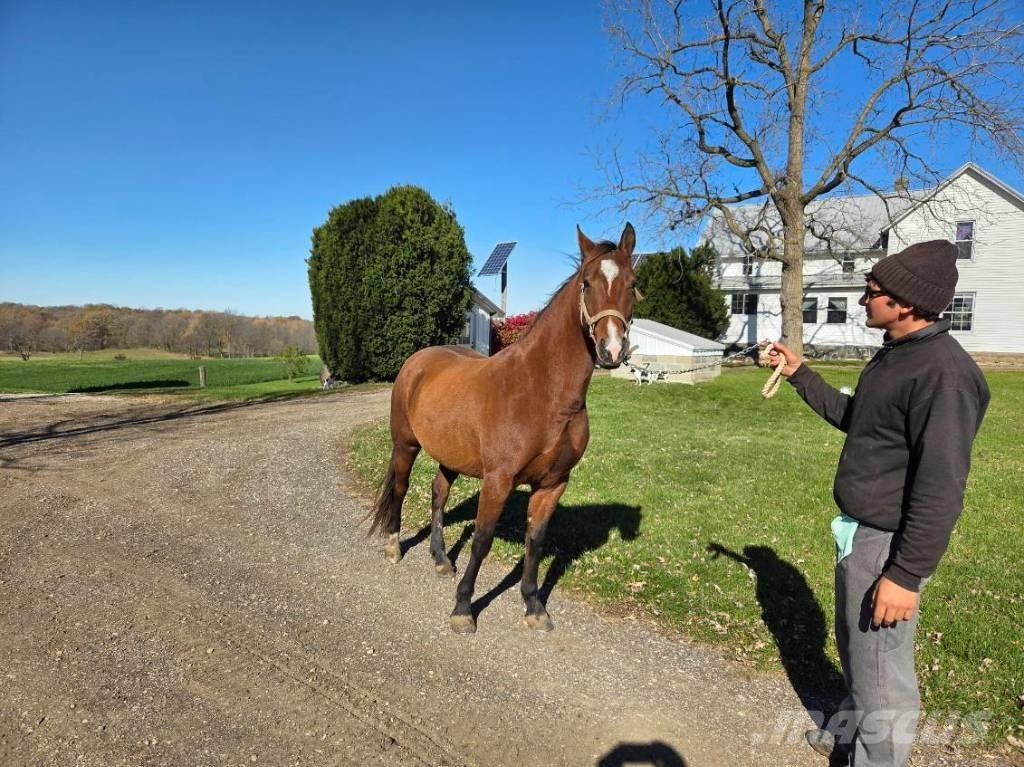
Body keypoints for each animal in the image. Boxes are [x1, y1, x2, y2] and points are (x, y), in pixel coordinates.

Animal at [368, 223, 639, 634]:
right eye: (587, 283)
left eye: (632, 282)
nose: (611, 350)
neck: (541, 393)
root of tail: (417, 361)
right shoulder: (498, 479)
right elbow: (482, 540)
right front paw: (463, 608)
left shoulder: (553, 484)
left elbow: (536, 542)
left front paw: (533, 606)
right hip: (405, 445)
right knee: (400, 489)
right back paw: (393, 546)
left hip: (452, 455)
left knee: (438, 494)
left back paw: (440, 559)